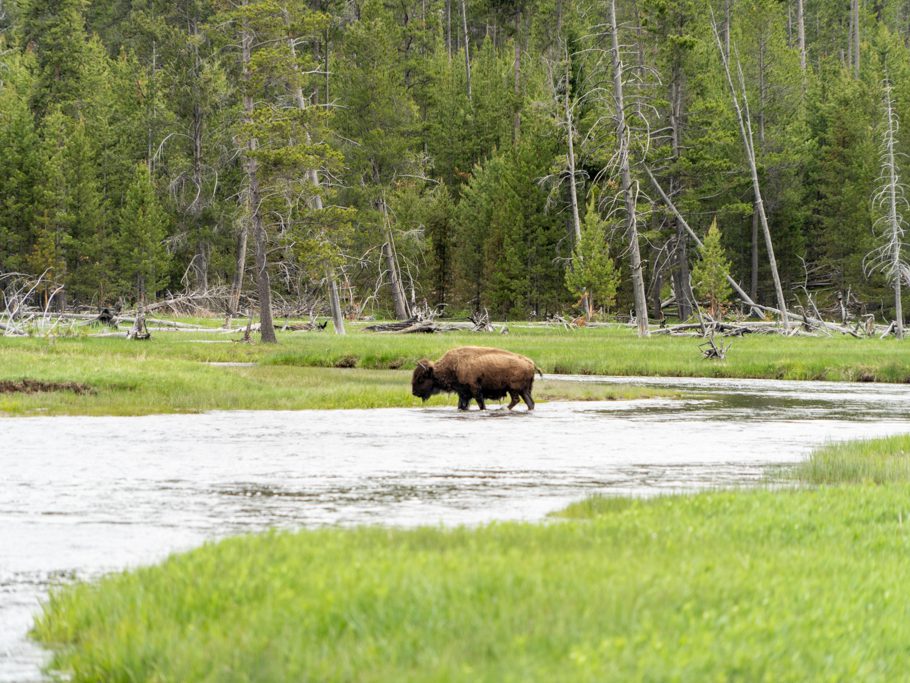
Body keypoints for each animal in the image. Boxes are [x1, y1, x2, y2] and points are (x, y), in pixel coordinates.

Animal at [412, 348, 540, 412]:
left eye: (421, 378)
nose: (414, 393)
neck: (453, 365)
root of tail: (531, 363)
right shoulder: (463, 393)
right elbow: (461, 405)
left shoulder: (475, 390)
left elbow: (481, 404)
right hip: (524, 390)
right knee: (530, 402)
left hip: (513, 389)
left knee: (516, 400)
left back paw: (502, 408)